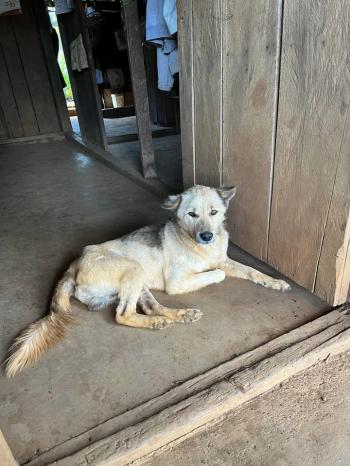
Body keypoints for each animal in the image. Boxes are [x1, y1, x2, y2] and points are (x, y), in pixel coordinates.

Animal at [5, 184, 290, 376]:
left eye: (214, 212)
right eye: (192, 215)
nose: (207, 236)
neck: (202, 247)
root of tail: (72, 266)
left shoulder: (224, 260)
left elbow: (251, 271)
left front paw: (274, 281)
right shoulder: (177, 281)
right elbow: (217, 273)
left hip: (138, 281)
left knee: (150, 306)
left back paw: (178, 316)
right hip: (134, 269)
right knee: (123, 314)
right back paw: (156, 322)